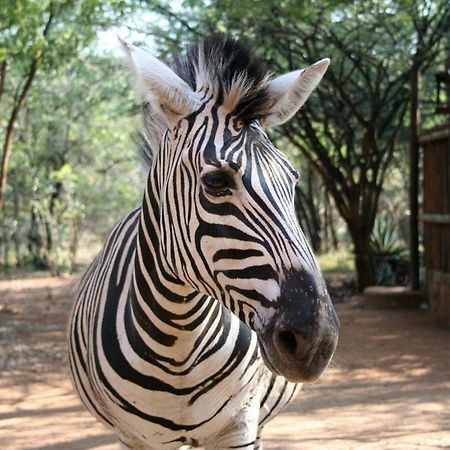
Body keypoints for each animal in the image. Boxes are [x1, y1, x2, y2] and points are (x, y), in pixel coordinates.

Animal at [68, 36, 338, 450]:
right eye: (215, 182)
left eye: (292, 180)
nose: (316, 341)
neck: (179, 337)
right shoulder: (136, 437)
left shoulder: (239, 426)